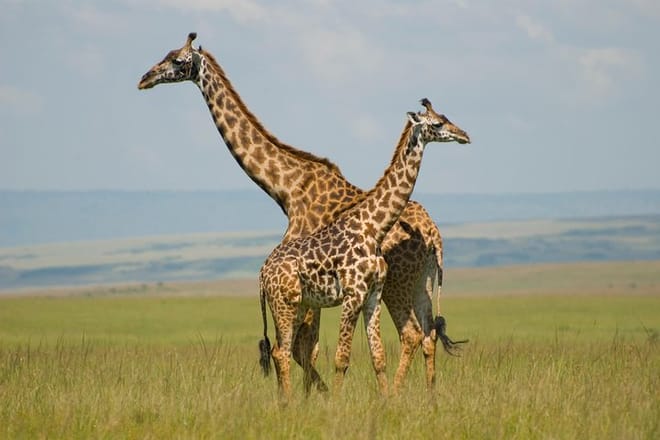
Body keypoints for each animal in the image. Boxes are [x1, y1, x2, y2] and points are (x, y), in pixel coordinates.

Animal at [258, 104, 470, 400]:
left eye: (447, 117)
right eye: (437, 123)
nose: (464, 136)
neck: (374, 227)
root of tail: (262, 273)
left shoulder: (373, 294)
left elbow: (378, 356)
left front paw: (386, 401)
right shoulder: (353, 294)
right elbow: (341, 358)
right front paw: (335, 403)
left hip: (298, 304)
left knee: (281, 350)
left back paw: (284, 401)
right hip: (284, 304)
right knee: (282, 352)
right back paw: (287, 402)